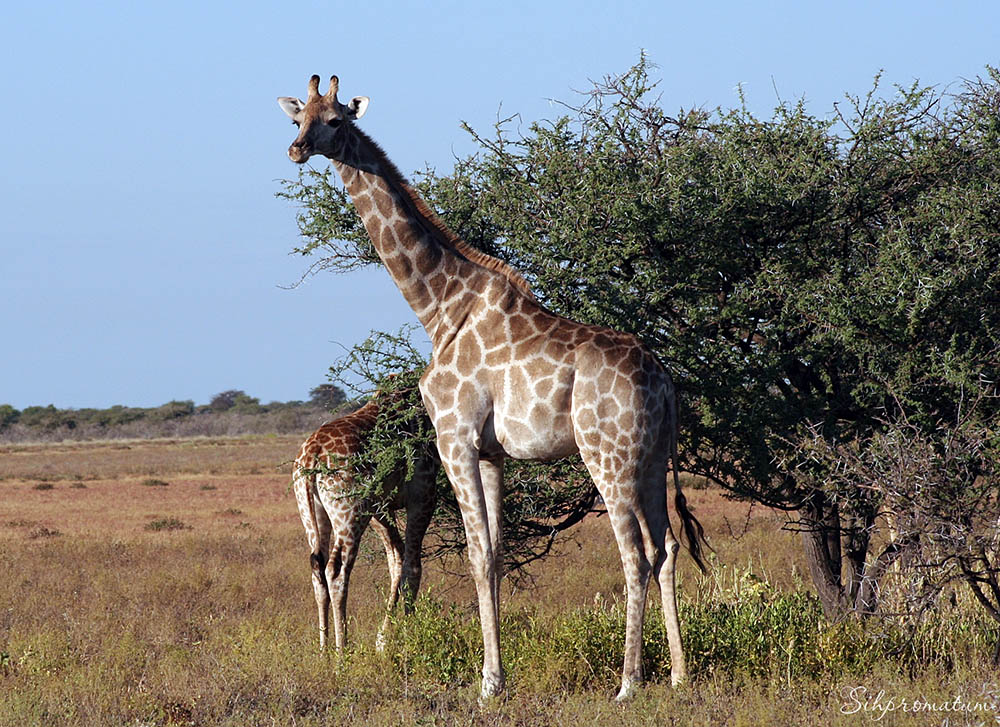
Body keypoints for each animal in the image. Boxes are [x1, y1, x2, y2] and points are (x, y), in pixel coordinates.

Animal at [292, 386, 442, 656]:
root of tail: (312, 455)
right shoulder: (423, 495)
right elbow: (412, 568)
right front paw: (410, 640)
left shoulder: (378, 508)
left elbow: (396, 560)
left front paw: (382, 641)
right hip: (349, 512)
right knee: (336, 570)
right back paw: (342, 653)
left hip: (311, 510)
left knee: (317, 567)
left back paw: (324, 652)